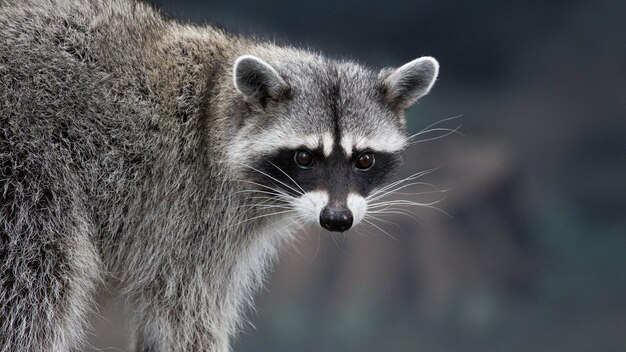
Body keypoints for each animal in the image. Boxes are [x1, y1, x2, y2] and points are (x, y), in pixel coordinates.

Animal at [0, 0, 438, 352]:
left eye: (364, 160)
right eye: (303, 157)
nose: (336, 219)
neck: (218, 102)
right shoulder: (190, 213)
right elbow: (184, 315)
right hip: (28, 176)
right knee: (35, 287)